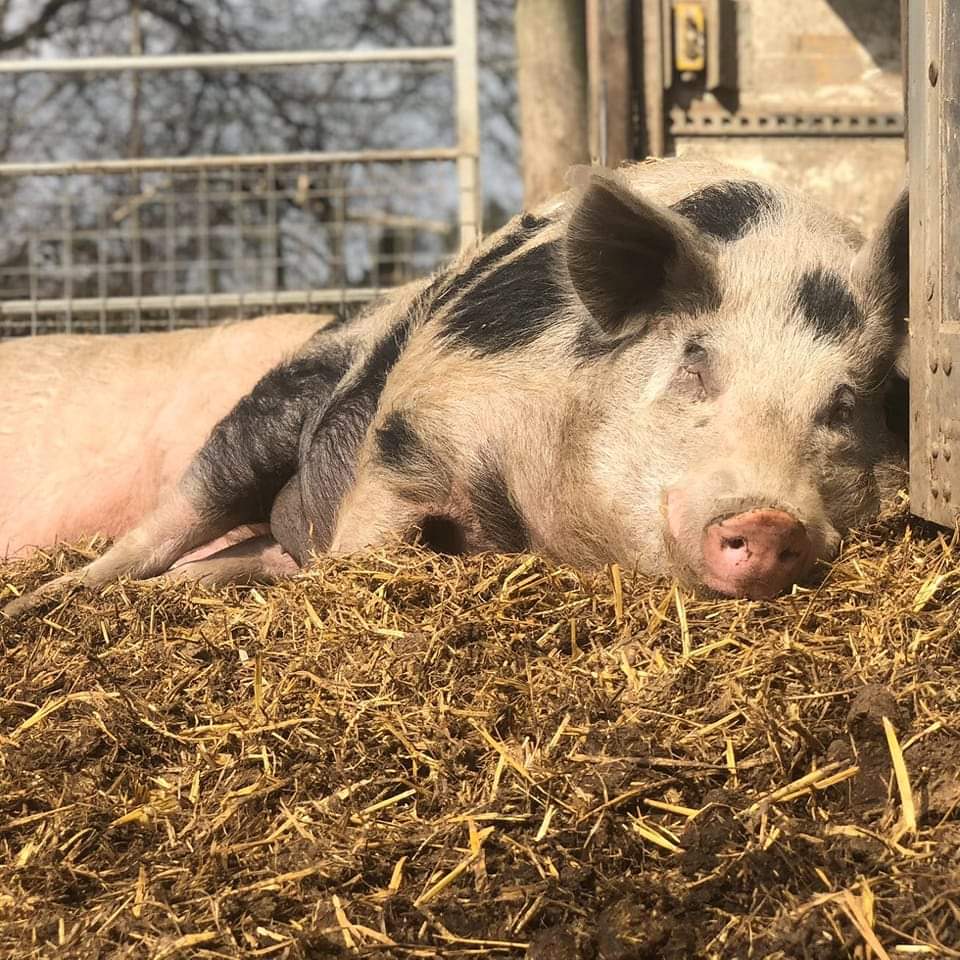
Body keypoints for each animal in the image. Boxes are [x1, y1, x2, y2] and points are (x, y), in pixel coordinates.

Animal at [2, 155, 908, 619]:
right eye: (695, 360)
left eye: (843, 404)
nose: (765, 517)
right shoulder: (416, 425)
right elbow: (370, 537)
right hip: (271, 407)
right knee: (173, 519)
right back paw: (44, 602)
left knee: (236, 554)